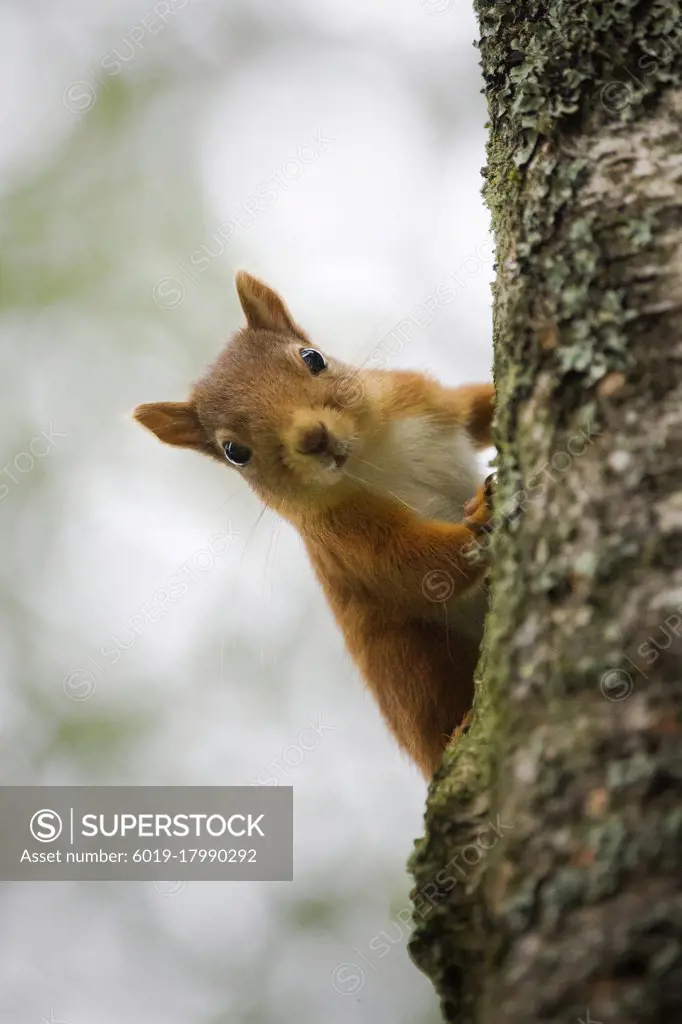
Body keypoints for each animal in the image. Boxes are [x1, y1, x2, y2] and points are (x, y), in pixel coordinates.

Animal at [134, 272, 493, 774]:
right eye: (234, 451)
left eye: (313, 358)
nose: (313, 438)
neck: (372, 455)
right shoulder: (341, 536)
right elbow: (414, 567)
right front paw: (480, 517)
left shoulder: (422, 399)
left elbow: (476, 407)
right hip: (405, 659)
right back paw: (458, 729)